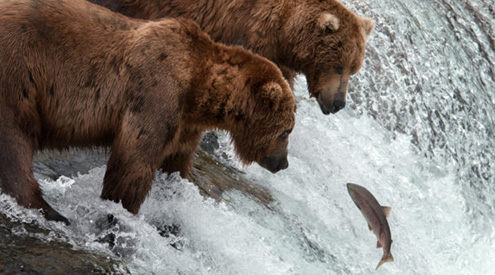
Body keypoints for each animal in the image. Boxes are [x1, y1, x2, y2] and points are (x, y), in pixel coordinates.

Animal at [0, 0, 296, 224]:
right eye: (286, 131)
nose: (283, 163)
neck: (198, 87)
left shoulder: (185, 125)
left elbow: (176, 164)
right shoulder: (156, 93)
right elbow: (134, 162)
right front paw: (121, 208)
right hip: (19, 71)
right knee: (15, 139)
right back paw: (50, 210)